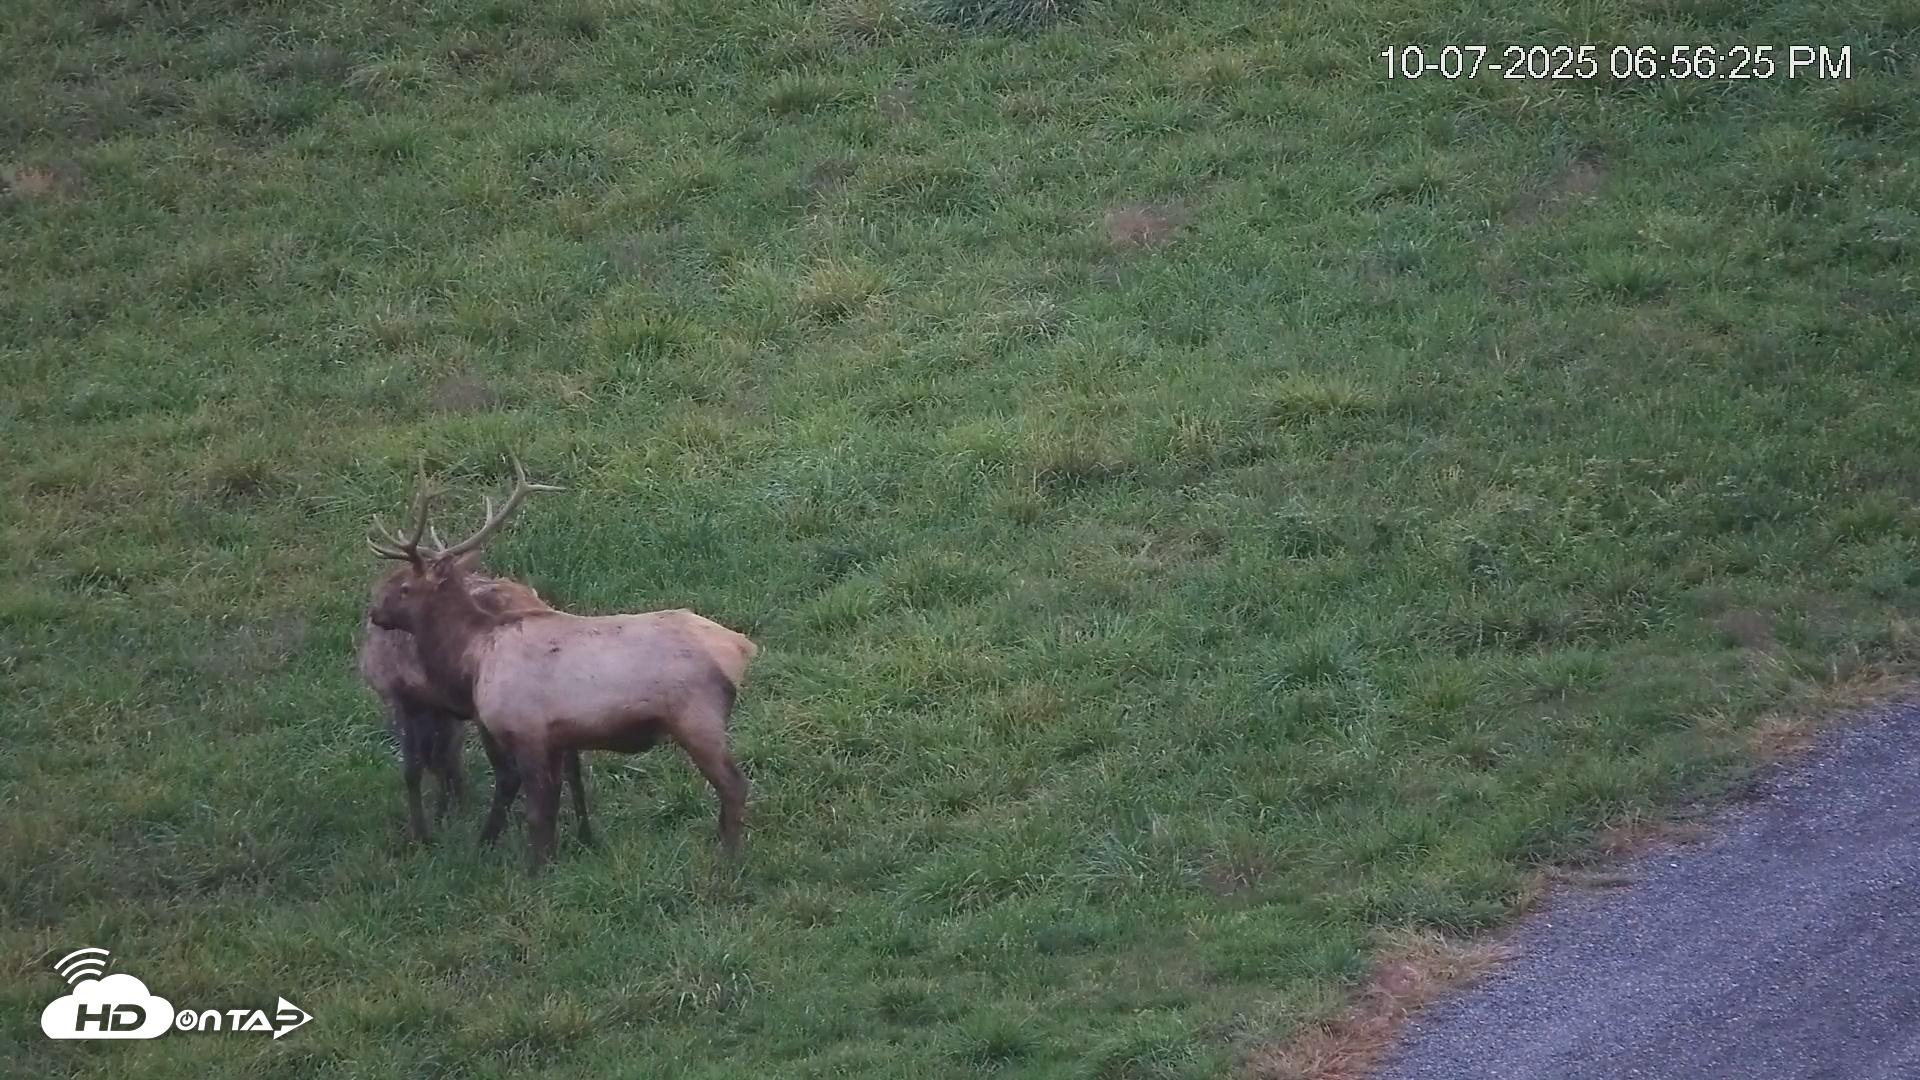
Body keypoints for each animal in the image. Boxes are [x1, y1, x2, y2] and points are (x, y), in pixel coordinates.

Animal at [357, 568, 592, 847]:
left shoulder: (401, 697)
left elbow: (414, 769)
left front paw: (423, 834)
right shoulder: (444, 710)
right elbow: (442, 757)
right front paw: (446, 809)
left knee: (512, 773)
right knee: (570, 762)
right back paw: (585, 834)